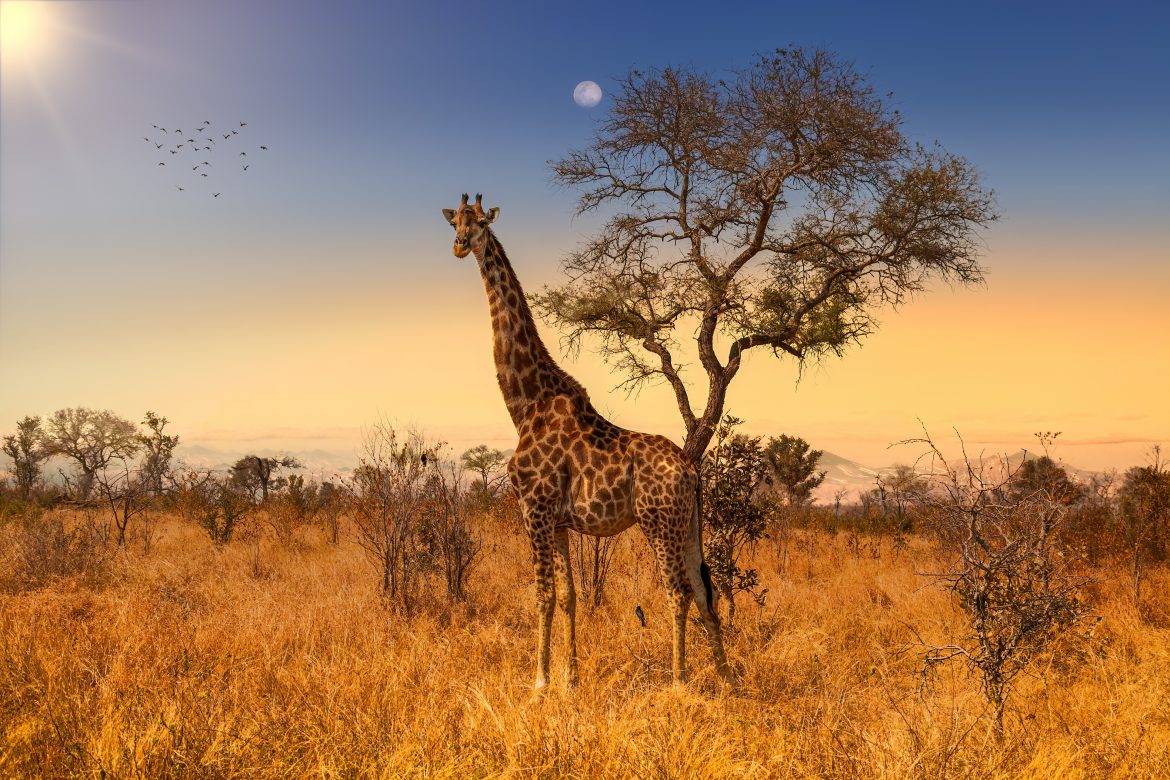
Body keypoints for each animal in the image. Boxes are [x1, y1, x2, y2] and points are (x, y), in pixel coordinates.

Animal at [442, 193, 733, 689]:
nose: (461, 245)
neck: (526, 404)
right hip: (689, 523)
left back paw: (679, 681)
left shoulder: (534, 509)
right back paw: (728, 679)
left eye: (481, 222)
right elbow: (569, 595)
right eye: (453, 222)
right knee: (702, 587)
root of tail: (691, 470)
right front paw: (570, 679)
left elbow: (542, 595)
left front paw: (539, 683)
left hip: (658, 521)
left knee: (677, 590)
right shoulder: (558, 522)